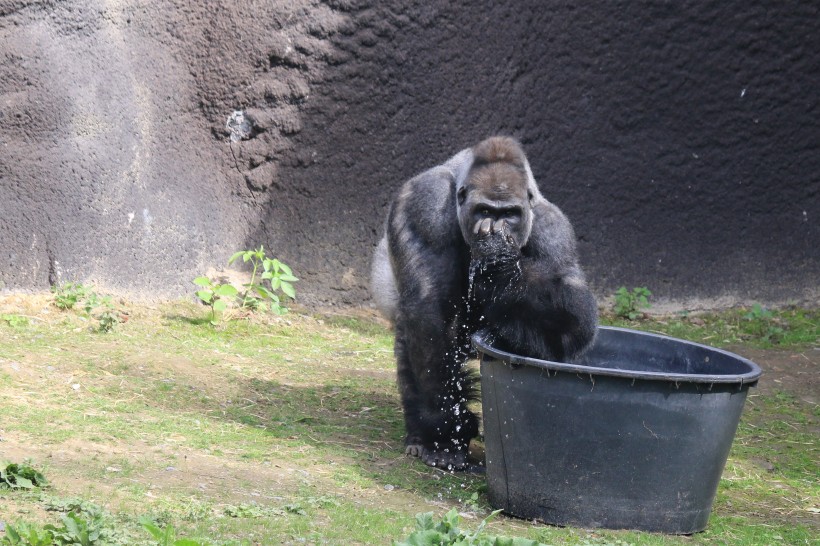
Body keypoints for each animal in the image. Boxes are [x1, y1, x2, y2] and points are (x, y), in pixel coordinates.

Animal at [372, 135, 596, 468]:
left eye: (510, 214)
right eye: (484, 210)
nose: (496, 227)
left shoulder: (555, 230)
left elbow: (572, 327)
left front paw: (501, 263)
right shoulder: (425, 203)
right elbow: (428, 313)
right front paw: (446, 429)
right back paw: (420, 433)